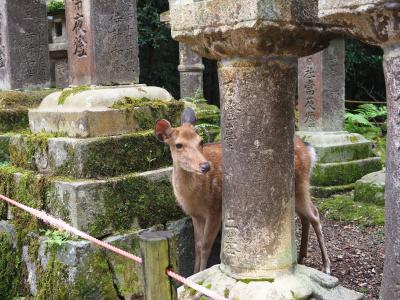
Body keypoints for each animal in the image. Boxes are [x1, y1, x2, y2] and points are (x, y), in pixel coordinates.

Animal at [155, 108, 332, 274]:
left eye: (201, 141)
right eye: (178, 145)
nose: (205, 166)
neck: (193, 197)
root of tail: (309, 150)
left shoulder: (215, 209)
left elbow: (205, 246)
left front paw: (199, 278)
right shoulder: (195, 215)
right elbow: (197, 247)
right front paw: (192, 276)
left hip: (300, 184)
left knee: (315, 214)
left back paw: (326, 266)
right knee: (304, 217)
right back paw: (301, 258)